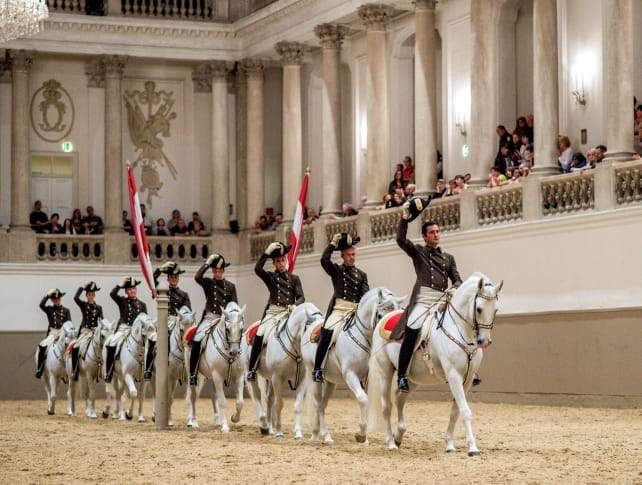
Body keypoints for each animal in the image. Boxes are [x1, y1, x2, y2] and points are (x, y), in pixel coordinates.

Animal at [186, 302, 246, 432]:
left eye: (241, 329)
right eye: (227, 329)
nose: (234, 352)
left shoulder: (239, 377)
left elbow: (240, 402)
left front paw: (234, 418)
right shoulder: (217, 376)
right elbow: (223, 401)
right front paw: (225, 426)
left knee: (213, 397)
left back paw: (217, 421)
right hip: (195, 376)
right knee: (193, 396)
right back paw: (193, 422)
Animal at [242, 302, 322, 438]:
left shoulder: (302, 380)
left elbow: (297, 405)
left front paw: (298, 433)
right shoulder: (277, 378)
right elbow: (279, 404)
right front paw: (279, 431)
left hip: (270, 379)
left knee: (269, 399)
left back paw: (270, 428)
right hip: (252, 373)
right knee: (258, 396)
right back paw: (264, 425)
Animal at [302, 286, 402, 444]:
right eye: (380, 314)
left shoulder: (365, 378)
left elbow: (365, 400)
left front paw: (363, 436)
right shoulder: (350, 374)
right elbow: (363, 398)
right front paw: (361, 434)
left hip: (330, 382)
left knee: (322, 404)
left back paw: (319, 434)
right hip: (315, 375)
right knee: (317, 403)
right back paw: (323, 435)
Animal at [370, 272, 500, 454]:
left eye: (495, 309)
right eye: (479, 309)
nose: (485, 341)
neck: (459, 330)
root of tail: (386, 318)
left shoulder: (466, 380)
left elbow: (455, 411)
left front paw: (450, 445)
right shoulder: (454, 376)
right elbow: (465, 411)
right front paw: (473, 448)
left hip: (413, 379)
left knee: (399, 398)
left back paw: (399, 436)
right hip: (385, 371)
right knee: (386, 405)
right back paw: (390, 442)